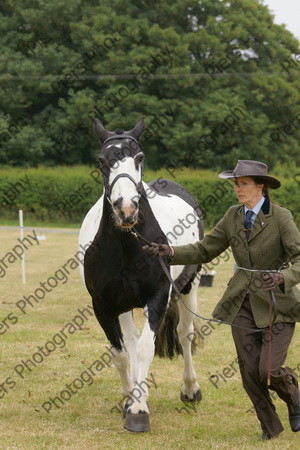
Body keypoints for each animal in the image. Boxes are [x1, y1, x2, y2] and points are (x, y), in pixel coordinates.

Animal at [78, 117, 204, 432]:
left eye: (139, 158)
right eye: (102, 161)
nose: (126, 209)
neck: (128, 242)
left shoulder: (157, 297)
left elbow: (147, 348)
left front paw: (138, 411)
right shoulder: (104, 305)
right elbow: (122, 353)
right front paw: (130, 400)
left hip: (189, 287)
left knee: (184, 335)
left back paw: (190, 389)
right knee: (132, 341)